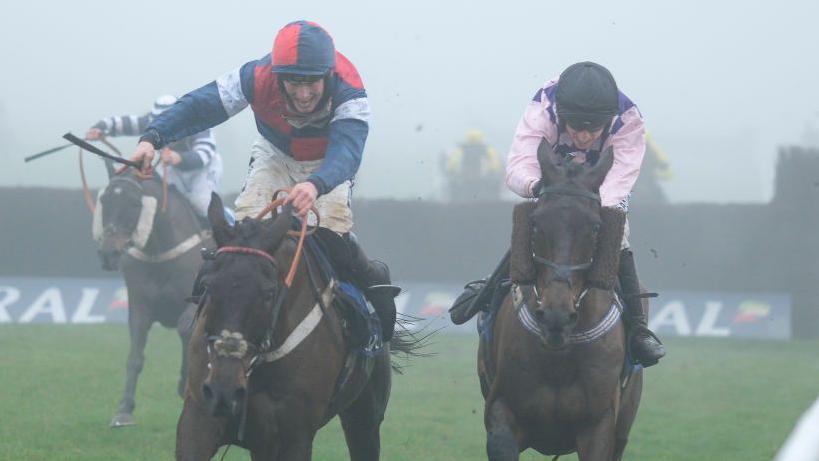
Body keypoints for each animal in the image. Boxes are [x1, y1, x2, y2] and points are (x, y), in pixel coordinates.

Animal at [93, 172, 210, 428]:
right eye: (104, 200)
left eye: (134, 204)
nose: (109, 253)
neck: (160, 253)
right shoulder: (139, 305)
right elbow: (135, 355)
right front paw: (124, 410)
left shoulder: (196, 301)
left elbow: (185, 329)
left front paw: (184, 382)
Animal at [179, 192, 420, 458]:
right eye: (208, 285)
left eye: (269, 293)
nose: (225, 388)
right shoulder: (199, 419)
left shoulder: (293, 436)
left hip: (365, 416)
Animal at [480, 145, 648, 460]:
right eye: (535, 224)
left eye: (595, 228)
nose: (555, 317)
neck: (558, 360)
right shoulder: (502, 407)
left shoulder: (599, 424)